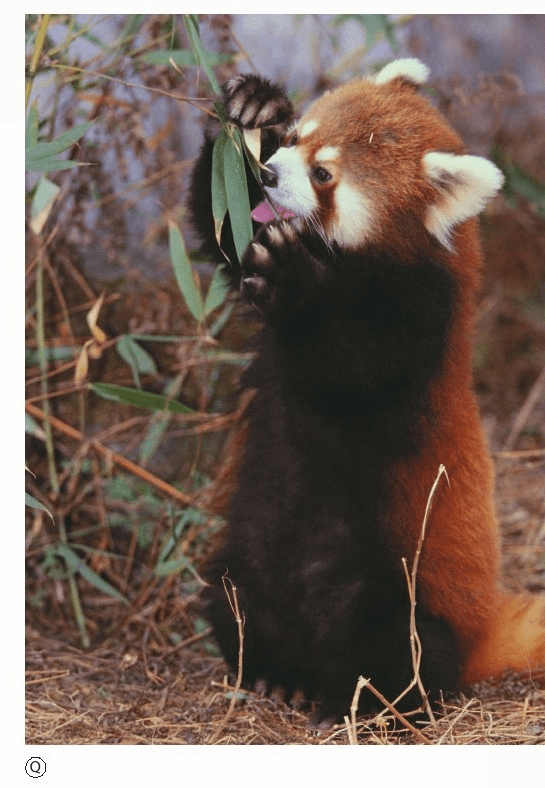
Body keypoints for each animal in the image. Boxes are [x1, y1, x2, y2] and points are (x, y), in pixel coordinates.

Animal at [188, 59, 544, 724]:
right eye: (296, 137)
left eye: (324, 174)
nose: (269, 173)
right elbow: (223, 222)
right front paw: (254, 108)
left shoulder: (423, 316)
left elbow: (354, 364)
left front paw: (293, 275)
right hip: (244, 562)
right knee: (232, 595)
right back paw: (279, 677)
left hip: (396, 587)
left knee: (393, 642)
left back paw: (366, 705)